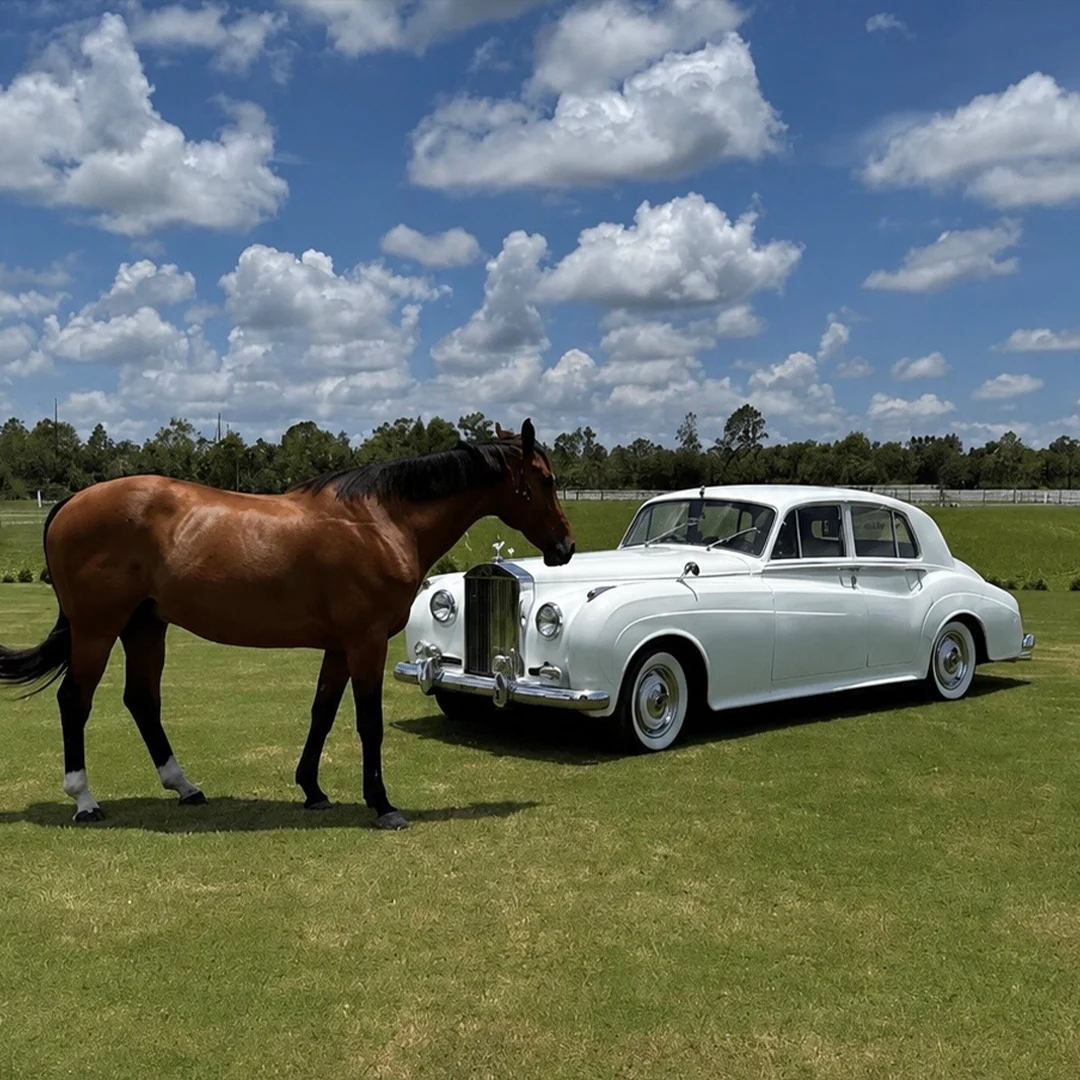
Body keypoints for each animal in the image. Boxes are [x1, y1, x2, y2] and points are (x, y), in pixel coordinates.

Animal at [0, 418, 575, 830]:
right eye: (545, 481)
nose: (565, 547)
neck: (381, 521)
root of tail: (73, 502)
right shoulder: (364, 643)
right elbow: (368, 723)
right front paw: (382, 805)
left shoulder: (339, 647)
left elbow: (322, 714)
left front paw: (313, 790)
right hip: (96, 629)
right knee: (75, 702)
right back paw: (85, 800)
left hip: (145, 627)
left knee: (141, 700)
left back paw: (185, 787)